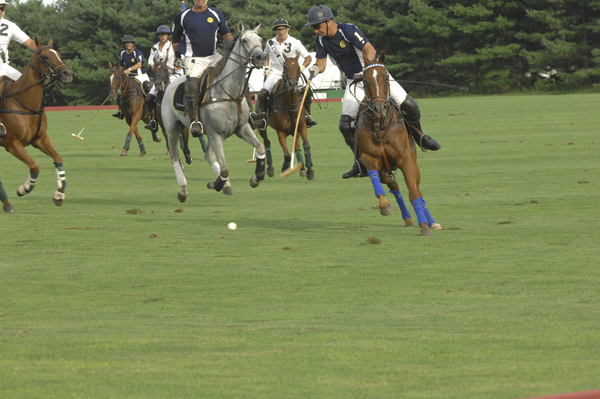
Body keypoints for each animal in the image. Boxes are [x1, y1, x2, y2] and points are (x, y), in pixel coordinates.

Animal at [0, 37, 74, 206]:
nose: (68, 74)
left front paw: (59, 194)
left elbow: (58, 158)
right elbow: (34, 166)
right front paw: (24, 188)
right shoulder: (12, 143)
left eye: (59, 54)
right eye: (46, 57)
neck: (24, 104)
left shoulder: (40, 139)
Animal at [163, 21, 268, 200]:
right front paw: (217, 183)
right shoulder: (216, 134)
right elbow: (225, 169)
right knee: (175, 156)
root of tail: (171, 83)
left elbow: (260, 148)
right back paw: (183, 190)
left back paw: (226, 185)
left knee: (209, 155)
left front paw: (256, 177)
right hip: (172, 128)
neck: (230, 93)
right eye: (245, 40)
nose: (260, 57)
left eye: (260, 40)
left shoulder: (242, 128)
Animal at [356, 51, 440, 236]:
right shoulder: (368, 158)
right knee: (393, 186)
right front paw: (384, 206)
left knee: (418, 191)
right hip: (385, 170)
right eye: (365, 80)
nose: (379, 108)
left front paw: (425, 227)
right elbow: (375, 182)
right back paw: (407, 218)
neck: (379, 126)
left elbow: (414, 194)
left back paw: (432, 222)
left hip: (414, 163)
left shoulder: (405, 160)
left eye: (385, 77)